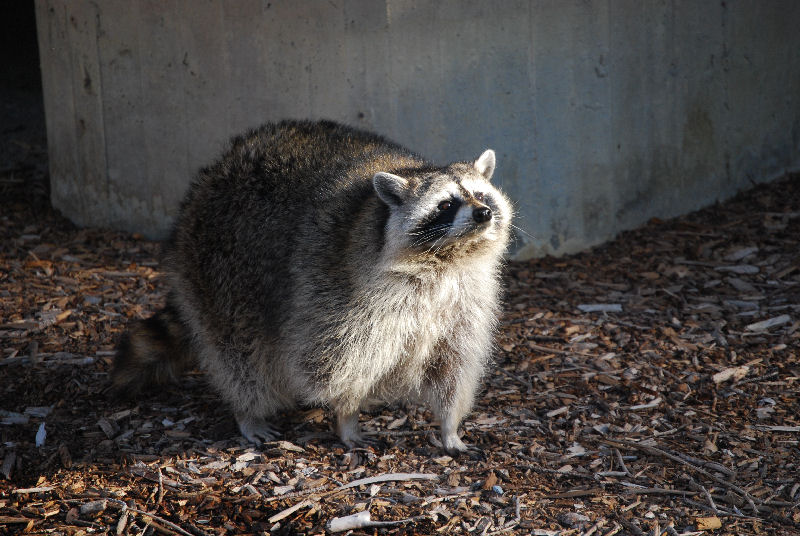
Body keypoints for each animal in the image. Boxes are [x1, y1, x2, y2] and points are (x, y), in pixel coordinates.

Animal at [112, 118, 512, 452]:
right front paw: (347, 416)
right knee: (239, 352)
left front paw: (449, 426)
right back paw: (247, 410)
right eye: (446, 205)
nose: (483, 214)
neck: (447, 261)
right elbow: (335, 364)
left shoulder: (465, 299)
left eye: (481, 195)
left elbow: (454, 365)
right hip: (217, 267)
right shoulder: (343, 295)